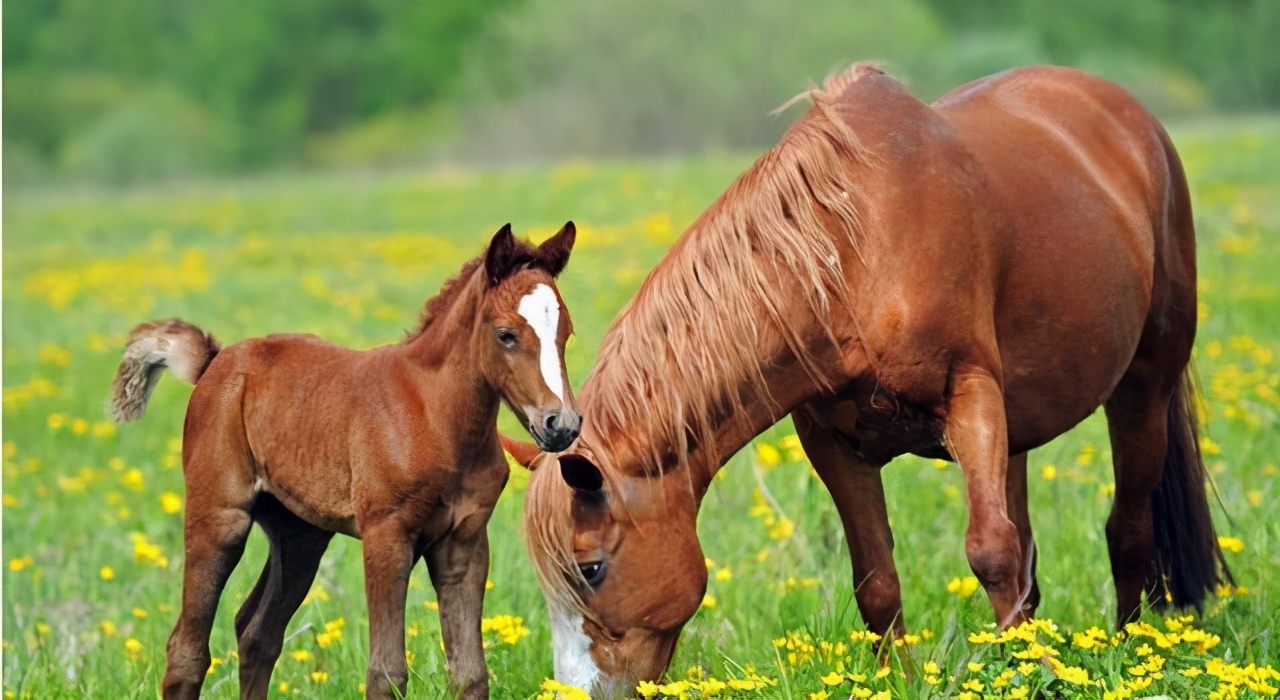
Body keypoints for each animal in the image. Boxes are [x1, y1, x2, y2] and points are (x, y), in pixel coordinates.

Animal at [110, 225, 581, 700]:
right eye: (506, 334)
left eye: (566, 333)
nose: (561, 424)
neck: (434, 415)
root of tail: (215, 361)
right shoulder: (386, 535)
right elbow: (386, 673)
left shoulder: (463, 543)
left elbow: (470, 675)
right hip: (220, 517)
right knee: (187, 651)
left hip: (299, 534)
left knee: (257, 631)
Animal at [501, 67, 1228, 696]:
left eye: (590, 569)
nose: (577, 693)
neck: (858, 253)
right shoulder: (833, 441)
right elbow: (878, 580)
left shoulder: (971, 398)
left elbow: (990, 552)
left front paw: (1037, 680)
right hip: (1020, 429)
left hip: (1143, 390)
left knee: (1126, 532)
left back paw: (1127, 654)